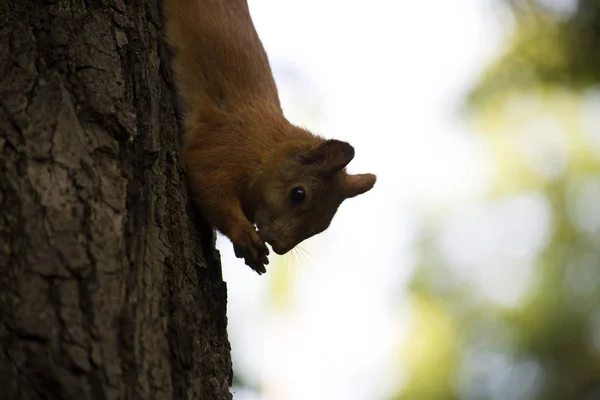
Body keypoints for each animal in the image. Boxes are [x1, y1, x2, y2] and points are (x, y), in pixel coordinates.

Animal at [164, 0, 376, 276]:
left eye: (323, 225)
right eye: (298, 194)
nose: (279, 247)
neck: (267, 148)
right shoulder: (222, 147)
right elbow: (208, 186)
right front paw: (244, 235)